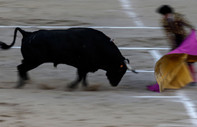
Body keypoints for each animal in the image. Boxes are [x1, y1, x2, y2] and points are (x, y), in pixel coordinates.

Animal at [0, 27, 135, 89]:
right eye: (120, 70)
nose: (115, 84)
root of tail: (27, 33)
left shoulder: (84, 67)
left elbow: (83, 77)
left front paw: (84, 86)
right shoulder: (83, 66)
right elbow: (80, 77)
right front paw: (71, 86)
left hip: (30, 60)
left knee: (22, 67)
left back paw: (26, 81)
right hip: (33, 61)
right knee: (20, 67)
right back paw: (20, 84)